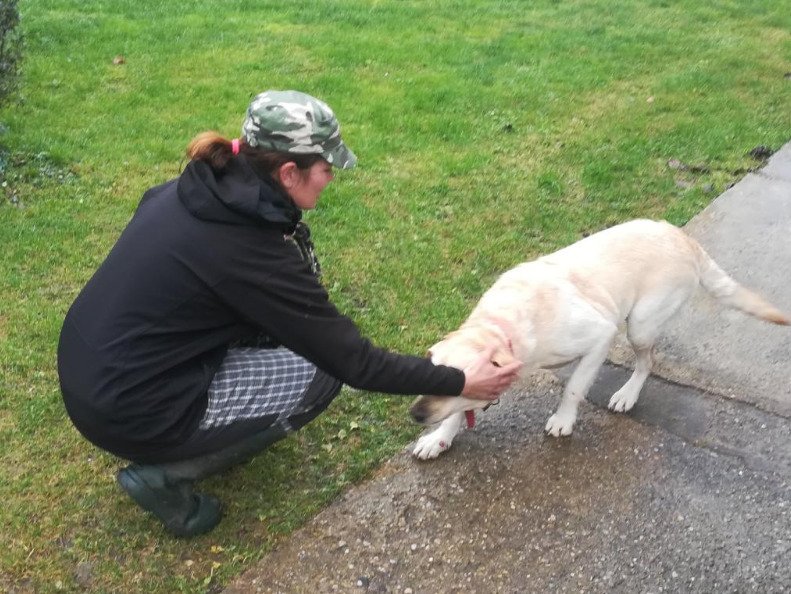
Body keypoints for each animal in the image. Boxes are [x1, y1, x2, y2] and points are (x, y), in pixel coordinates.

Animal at [412, 217, 788, 458]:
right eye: (432, 377)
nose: (414, 414)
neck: (501, 325)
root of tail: (684, 239)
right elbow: (458, 413)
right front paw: (439, 439)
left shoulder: (599, 337)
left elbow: (573, 388)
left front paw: (563, 421)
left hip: (640, 324)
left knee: (647, 361)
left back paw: (627, 395)